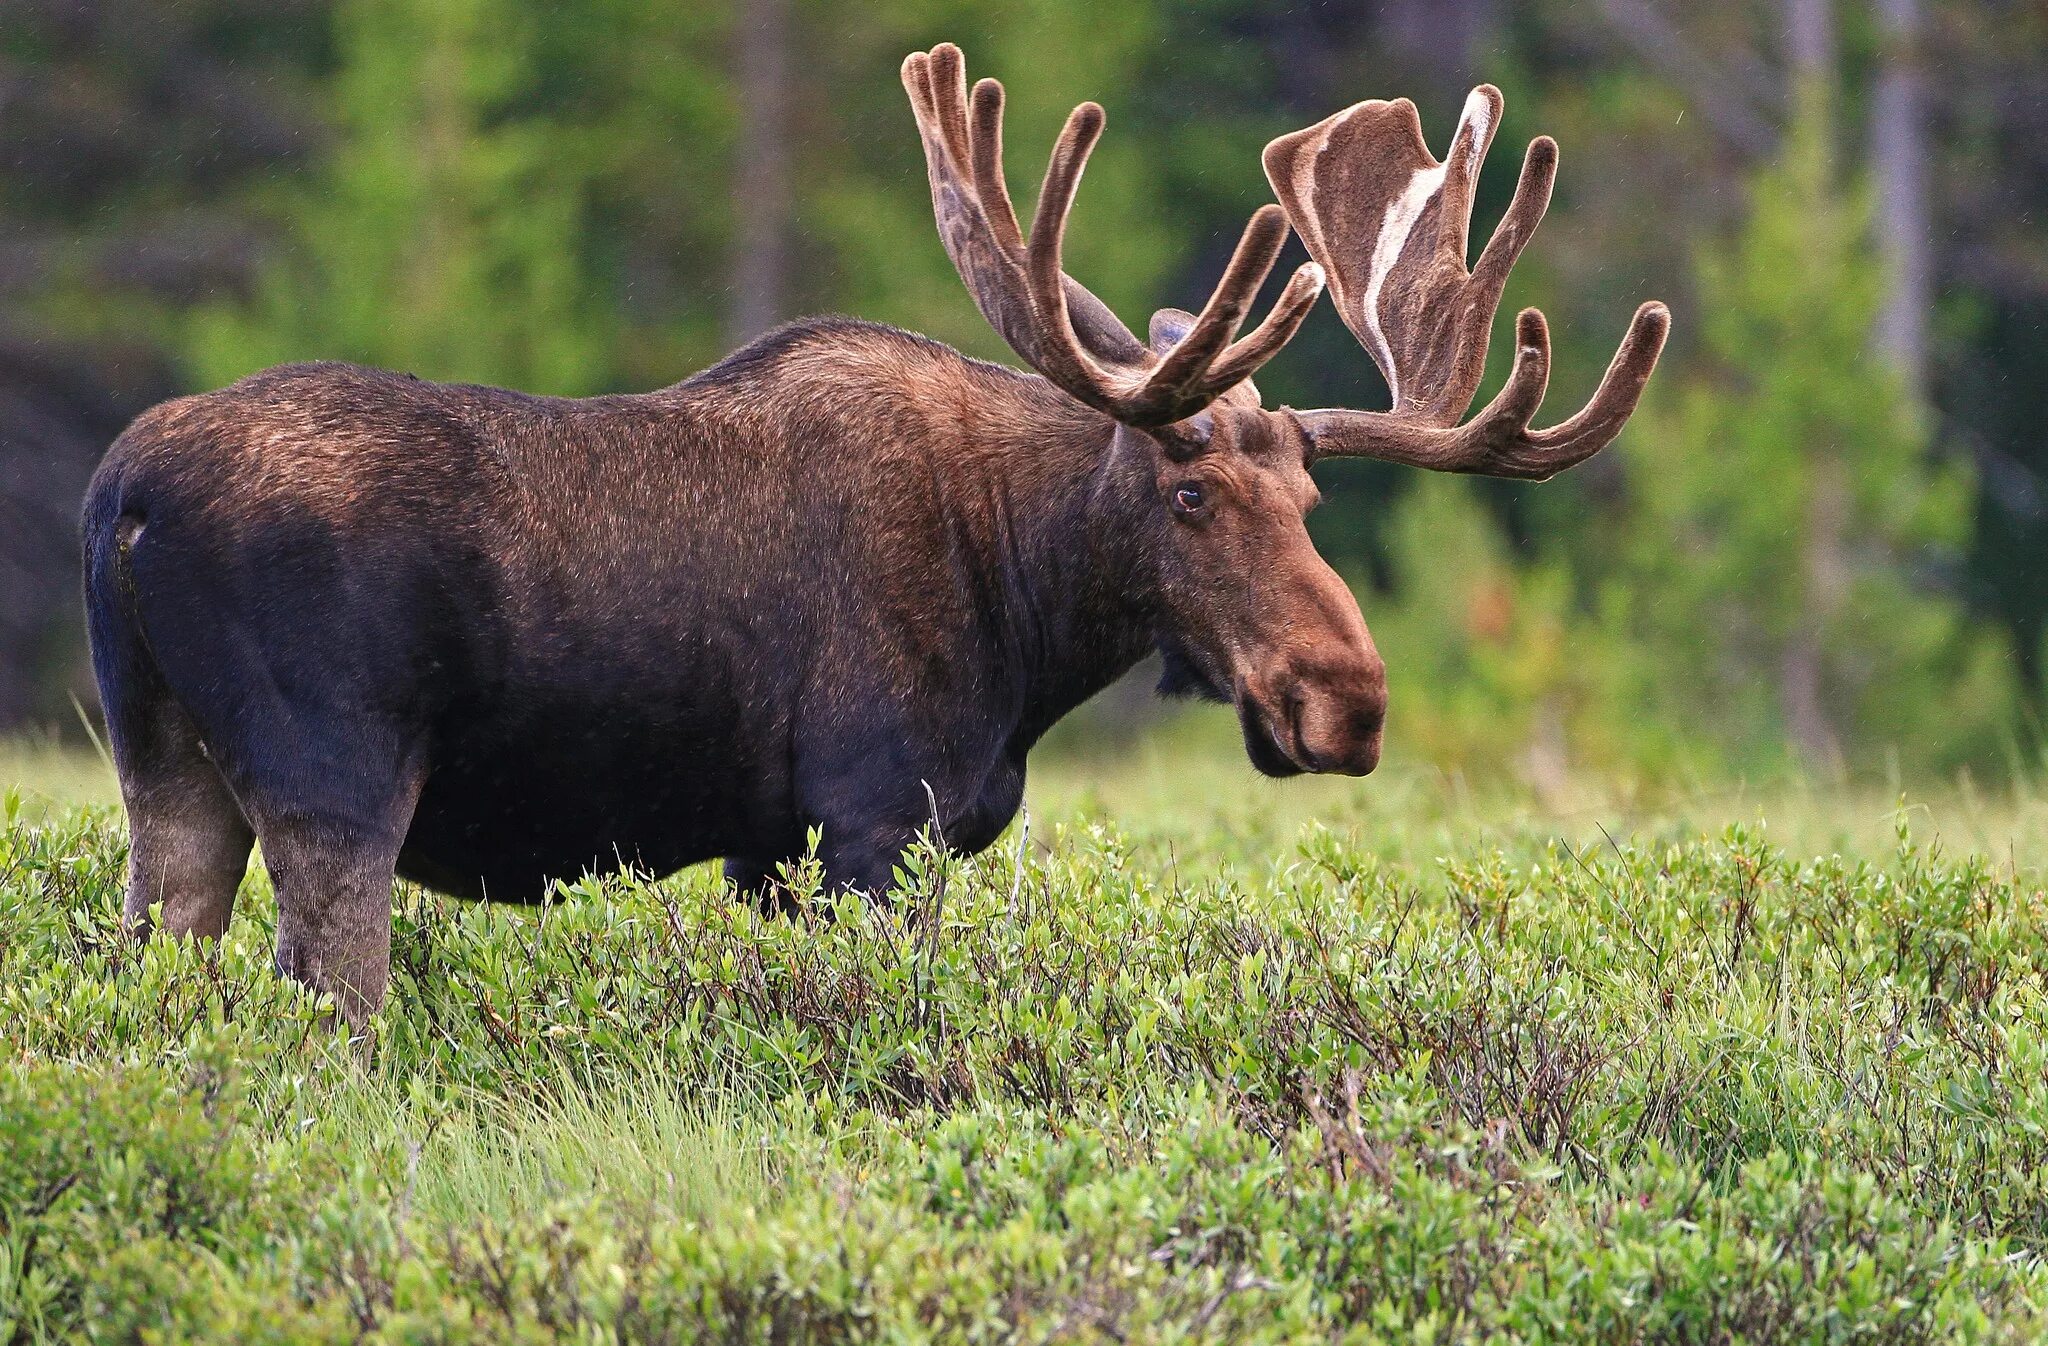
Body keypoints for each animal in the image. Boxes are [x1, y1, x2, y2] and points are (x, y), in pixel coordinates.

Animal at [88, 47, 1671, 1024]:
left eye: (1312, 500)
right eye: (1189, 494)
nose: (1346, 699)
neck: (1027, 616)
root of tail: (121, 495)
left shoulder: (768, 849)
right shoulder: (869, 817)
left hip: (167, 772)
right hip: (335, 779)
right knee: (327, 1012)